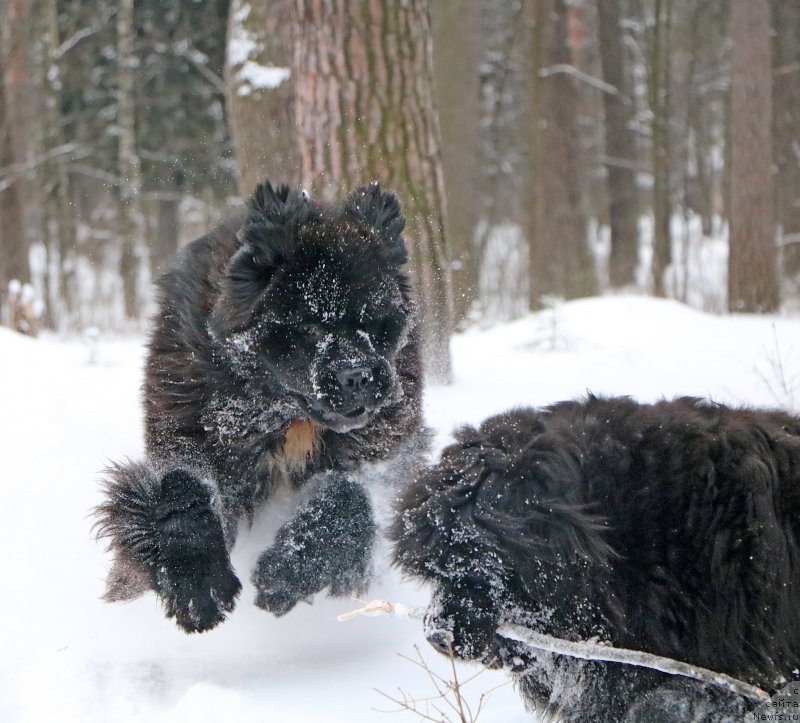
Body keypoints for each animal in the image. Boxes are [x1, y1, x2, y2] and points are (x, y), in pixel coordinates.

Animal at [94, 180, 424, 632]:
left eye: (374, 323)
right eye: (309, 325)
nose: (358, 375)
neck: (289, 415)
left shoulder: (385, 454)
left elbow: (347, 495)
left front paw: (289, 570)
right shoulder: (186, 435)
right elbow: (181, 491)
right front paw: (197, 586)